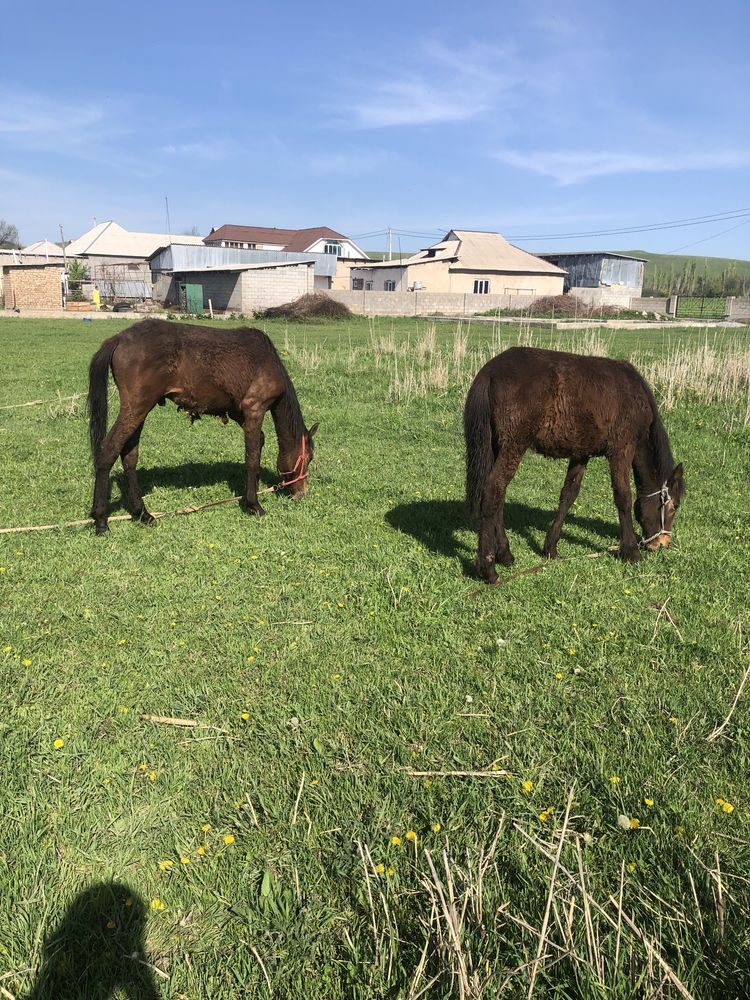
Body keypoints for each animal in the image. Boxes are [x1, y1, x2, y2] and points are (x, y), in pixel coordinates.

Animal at [87, 322, 318, 536]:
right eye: (309, 457)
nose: (302, 494)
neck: (268, 362)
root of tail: (118, 338)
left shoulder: (239, 413)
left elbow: (258, 445)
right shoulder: (255, 409)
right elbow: (252, 459)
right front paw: (254, 505)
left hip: (139, 411)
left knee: (129, 456)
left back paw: (142, 513)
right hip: (136, 408)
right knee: (108, 451)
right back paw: (101, 520)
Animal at [468, 346, 692, 584]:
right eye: (674, 506)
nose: (662, 544)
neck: (635, 395)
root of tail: (490, 370)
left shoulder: (581, 453)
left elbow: (569, 495)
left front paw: (550, 547)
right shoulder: (621, 450)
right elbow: (623, 497)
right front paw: (631, 551)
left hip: (497, 446)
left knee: (498, 497)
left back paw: (505, 554)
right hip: (513, 445)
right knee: (494, 490)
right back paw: (488, 568)